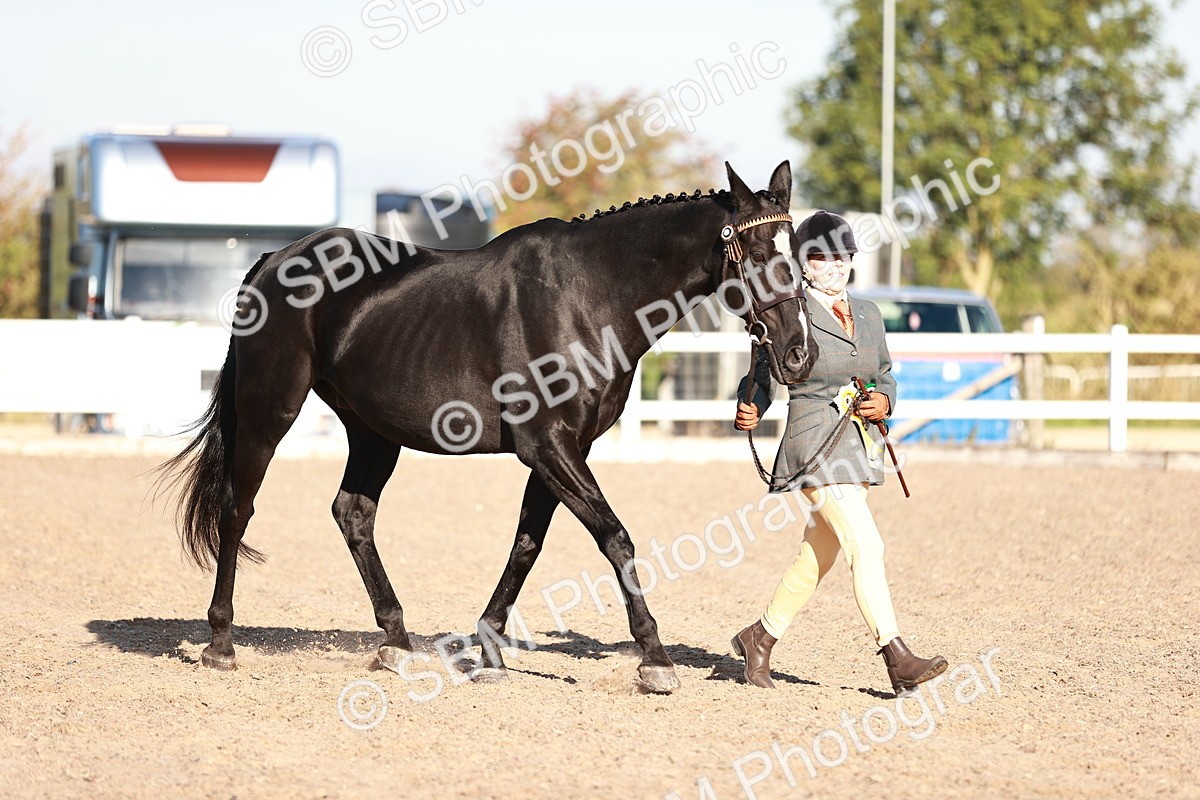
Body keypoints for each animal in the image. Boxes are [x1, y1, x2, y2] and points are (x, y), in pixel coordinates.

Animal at [155, 160, 818, 693]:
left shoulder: (563, 450)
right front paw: (654, 658)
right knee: (237, 510)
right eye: (762, 255)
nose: (797, 356)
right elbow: (615, 539)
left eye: (801, 259)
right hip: (270, 412)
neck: (590, 295)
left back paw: (395, 642)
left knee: (353, 513)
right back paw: (221, 644)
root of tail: (274, 261)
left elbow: (528, 543)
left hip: (373, 432)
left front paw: (491, 647)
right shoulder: (549, 447)